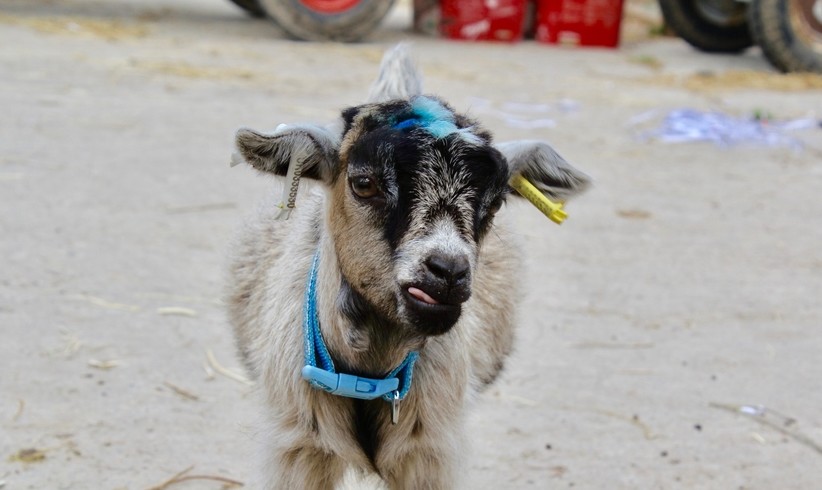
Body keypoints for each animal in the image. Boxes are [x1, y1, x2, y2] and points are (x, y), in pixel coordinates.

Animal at [227, 45, 592, 486]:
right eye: (363, 183)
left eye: (496, 202)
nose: (448, 272)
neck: (368, 374)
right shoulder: (298, 448)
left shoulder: (430, 451)